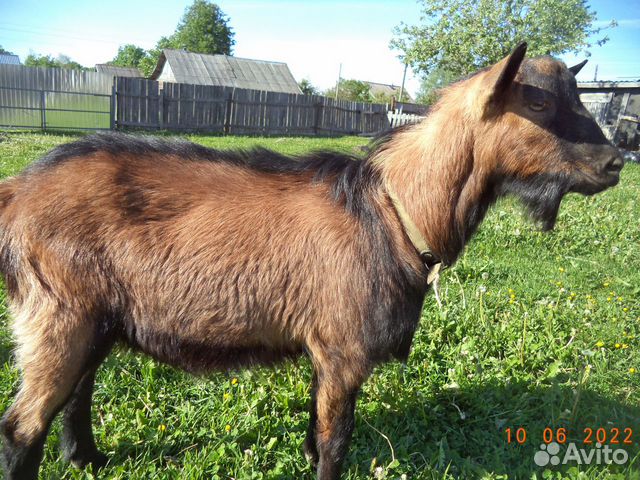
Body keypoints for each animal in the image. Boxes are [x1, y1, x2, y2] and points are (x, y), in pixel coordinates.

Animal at [0, 43, 624, 478]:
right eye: (538, 102)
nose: (615, 163)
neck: (390, 209)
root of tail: (16, 191)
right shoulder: (345, 348)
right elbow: (334, 442)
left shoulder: (325, 350)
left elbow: (314, 433)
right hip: (58, 312)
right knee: (23, 425)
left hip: (96, 318)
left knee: (76, 395)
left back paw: (88, 461)